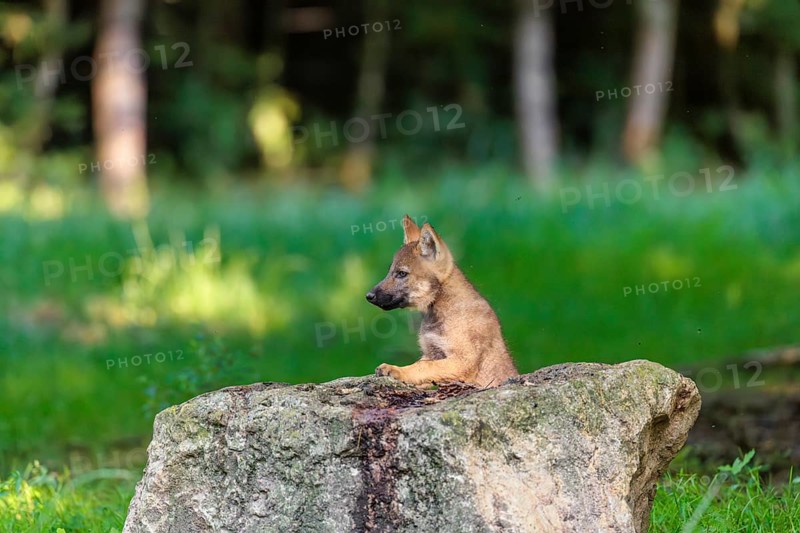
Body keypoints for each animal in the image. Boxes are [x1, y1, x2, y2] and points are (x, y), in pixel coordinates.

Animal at [366, 215, 518, 388]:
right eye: (389, 272)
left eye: (402, 273)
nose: (368, 296)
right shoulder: (431, 352)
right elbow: (421, 367)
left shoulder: (462, 361)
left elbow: (423, 367)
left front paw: (396, 370)